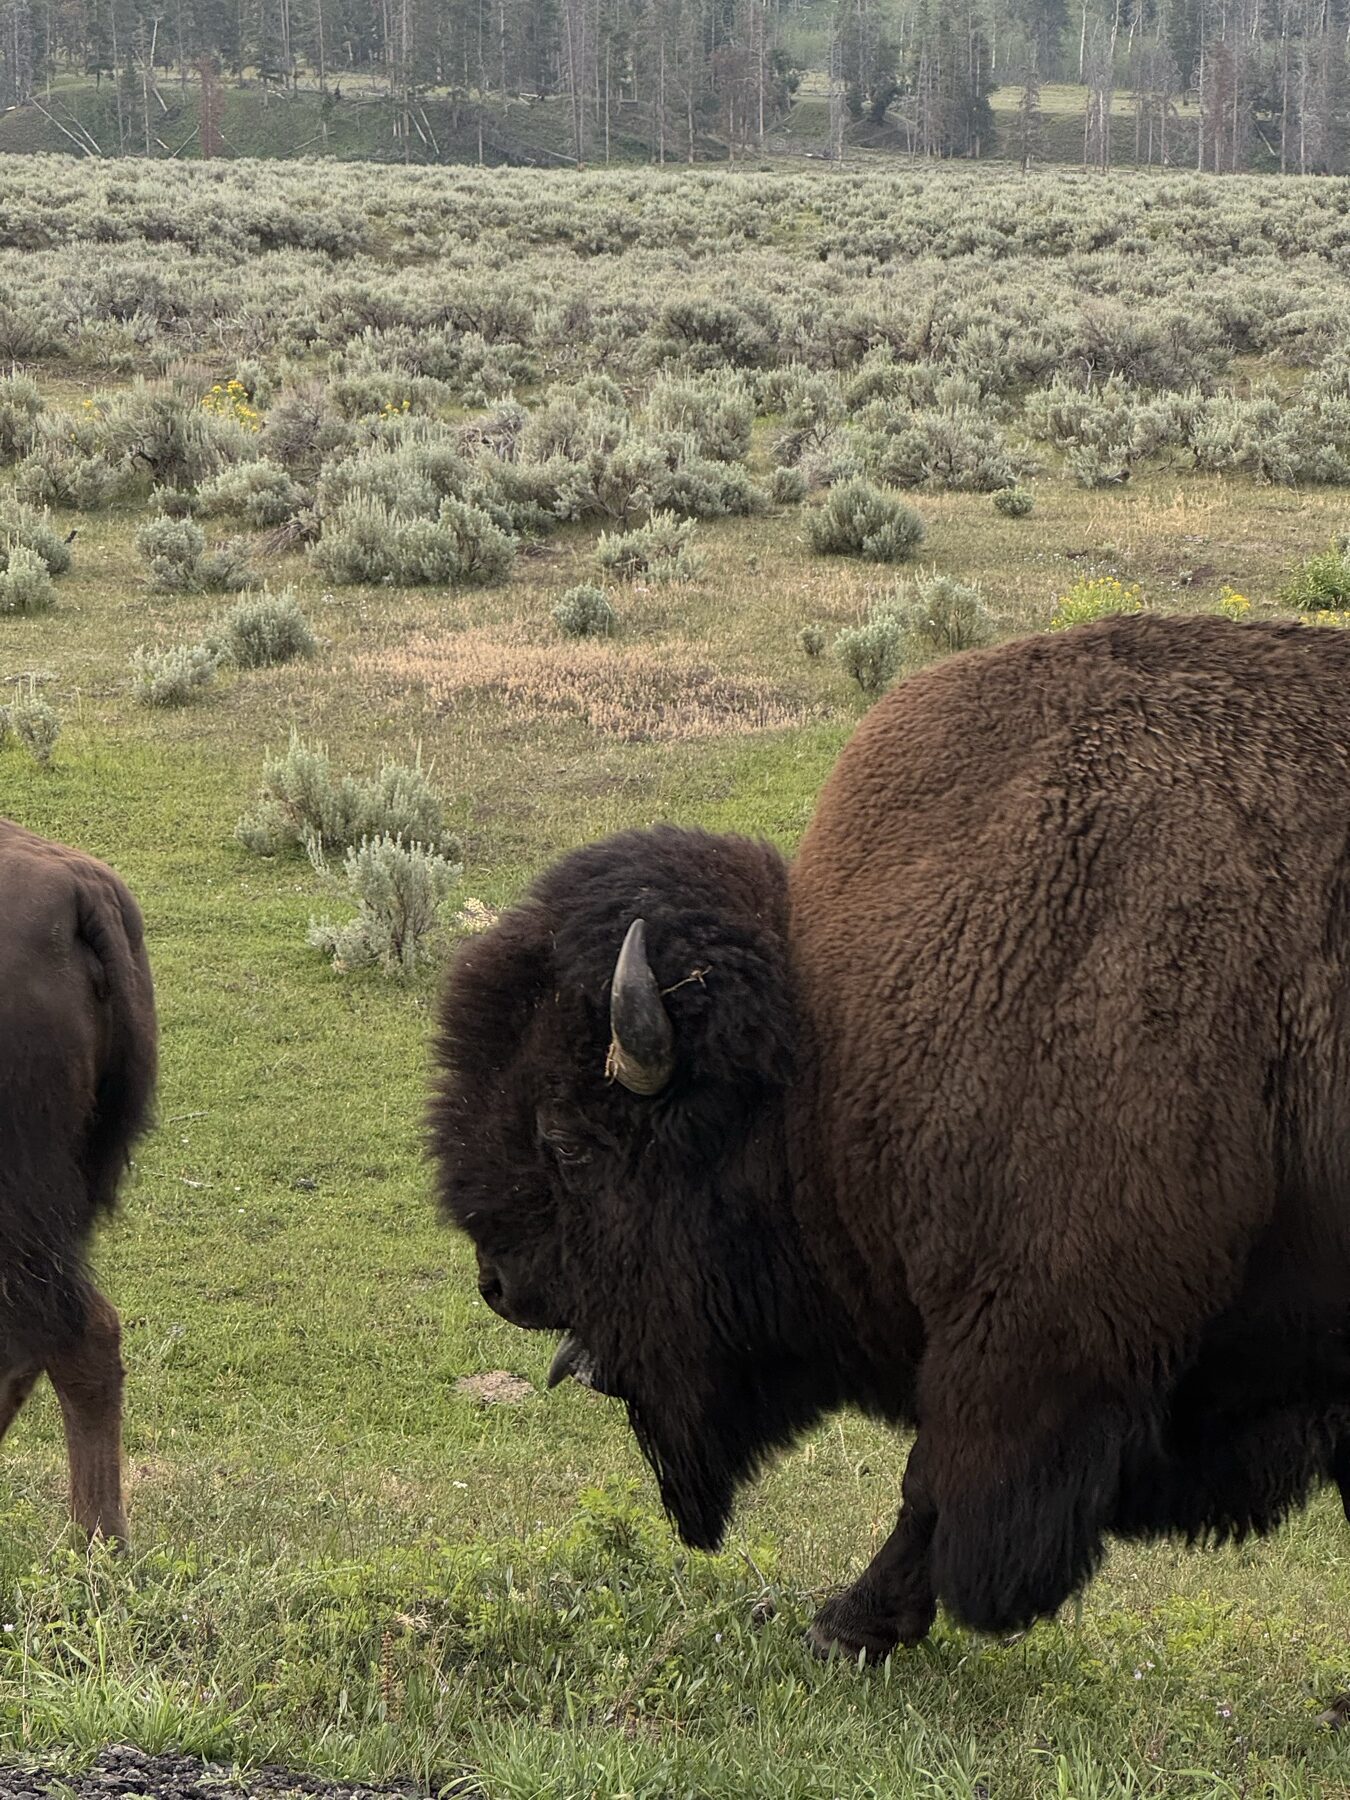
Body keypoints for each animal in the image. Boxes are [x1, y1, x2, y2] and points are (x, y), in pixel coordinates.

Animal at [432, 613, 1350, 1659]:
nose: (501, 1284)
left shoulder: (1029, 1333)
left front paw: (847, 1624)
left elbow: (934, 1484)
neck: (828, 1053)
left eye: (570, 1142)